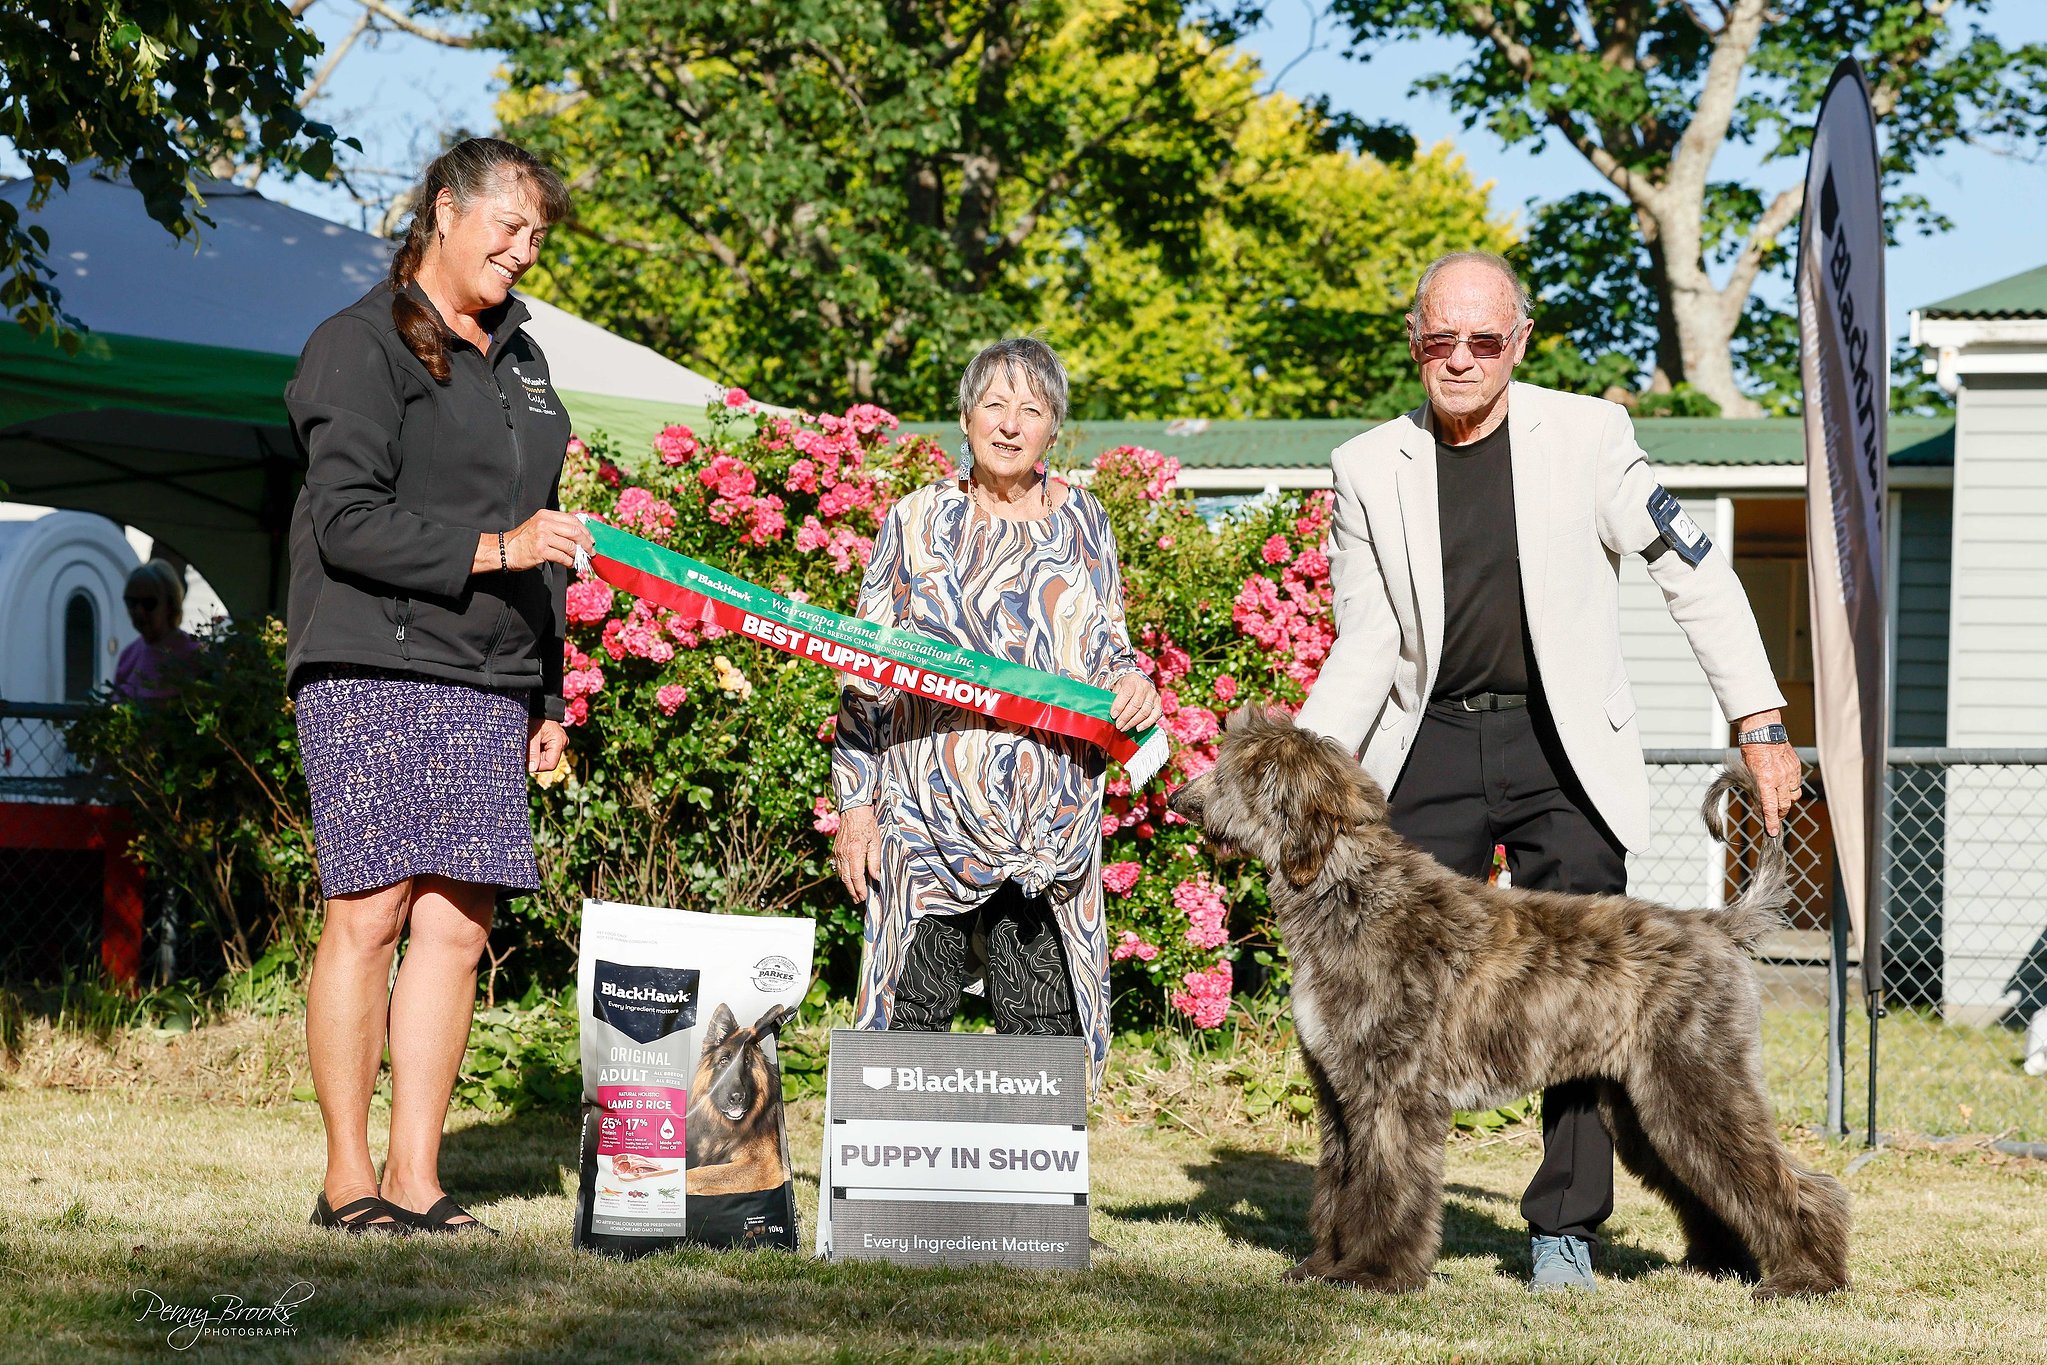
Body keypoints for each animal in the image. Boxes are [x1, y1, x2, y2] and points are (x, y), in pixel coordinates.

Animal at [1167, 708, 1850, 1299]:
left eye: (1233, 774)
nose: (1179, 798)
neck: (1350, 896)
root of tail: (1717, 924)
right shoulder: (1340, 1093)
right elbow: (1339, 1187)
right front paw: (1322, 1267)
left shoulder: (1393, 1092)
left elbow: (1385, 1189)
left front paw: (1373, 1273)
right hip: (1647, 1105)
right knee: (1713, 1189)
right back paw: (1721, 1264)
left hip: (1697, 1083)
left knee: (1796, 1184)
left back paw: (1807, 1277)